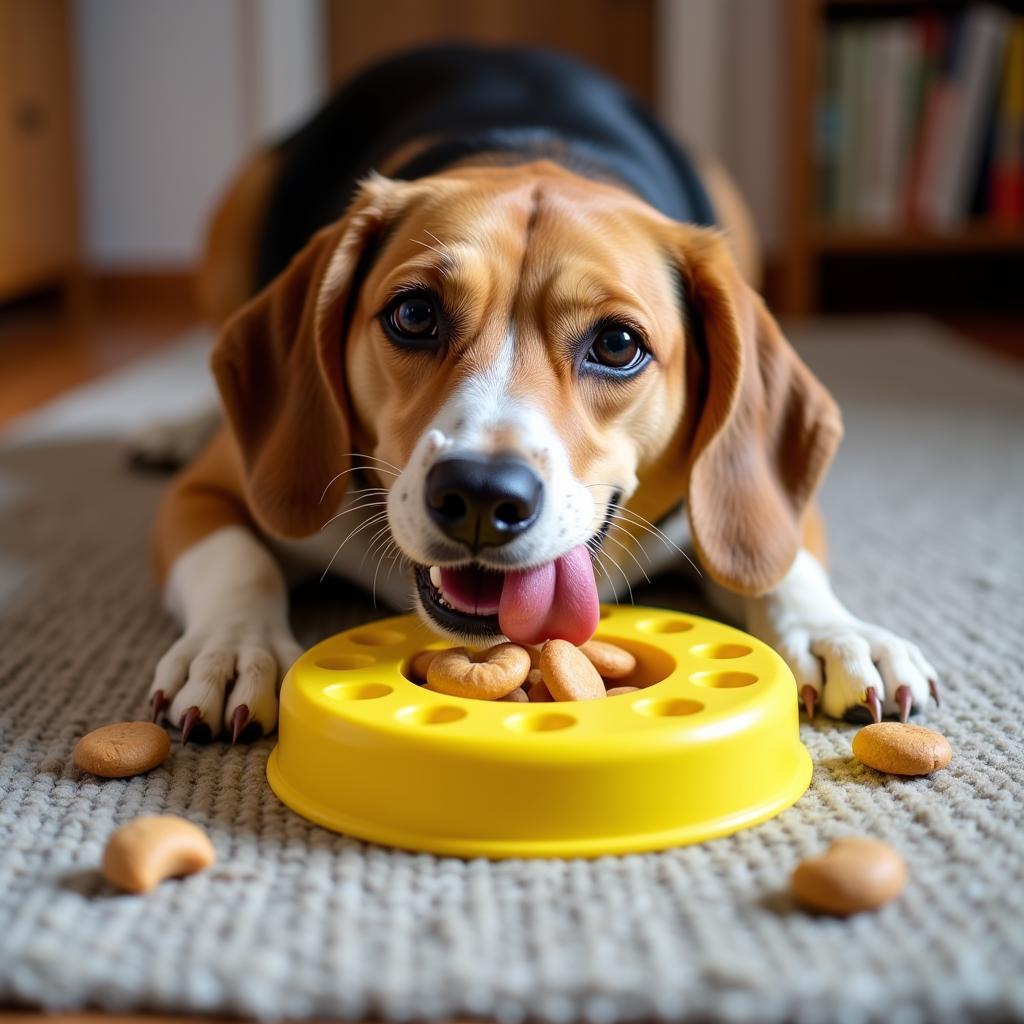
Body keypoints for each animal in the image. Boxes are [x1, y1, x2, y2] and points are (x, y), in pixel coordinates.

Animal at [149, 46, 937, 745]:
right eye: (414, 314)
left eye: (617, 345)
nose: (479, 495)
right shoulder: (209, 496)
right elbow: (236, 562)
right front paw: (233, 648)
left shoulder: (757, 510)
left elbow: (784, 567)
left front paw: (837, 634)